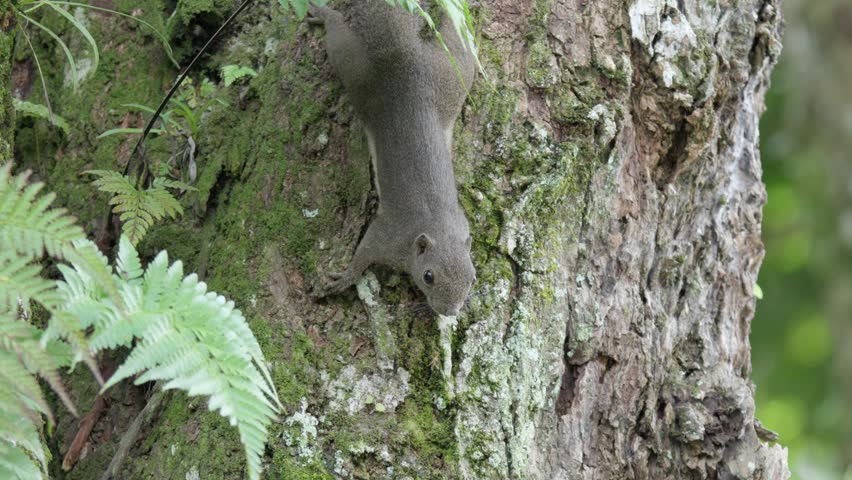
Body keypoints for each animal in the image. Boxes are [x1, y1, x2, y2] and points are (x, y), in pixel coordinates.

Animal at [311, 0, 477, 316]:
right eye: (428, 276)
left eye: (473, 278)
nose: (450, 312)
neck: (439, 229)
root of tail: (405, 58)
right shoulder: (389, 237)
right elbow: (364, 253)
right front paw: (345, 278)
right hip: (355, 68)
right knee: (338, 35)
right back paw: (323, 14)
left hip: (451, 75)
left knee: (459, 37)